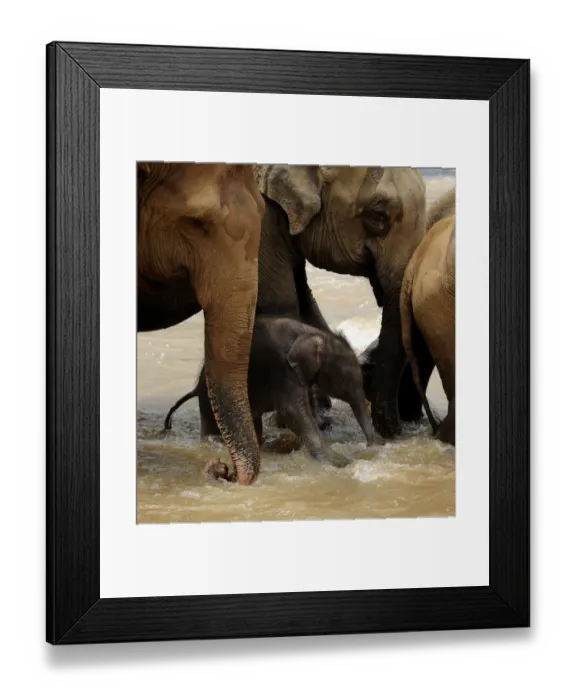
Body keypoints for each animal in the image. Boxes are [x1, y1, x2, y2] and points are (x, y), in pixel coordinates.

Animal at [163, 315, 374, 478]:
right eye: (343, 382)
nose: (370, 446)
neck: (312, 333)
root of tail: (196, 386)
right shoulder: (282, 369)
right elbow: (293, 411)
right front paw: (330, 463)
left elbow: (307, 409)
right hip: (209, 400)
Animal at [253, 165, 427, 439]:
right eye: (378, 215)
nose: (397, 434)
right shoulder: (260, 221)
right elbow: (282, 303)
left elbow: (305, 302)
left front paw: (320, 417)